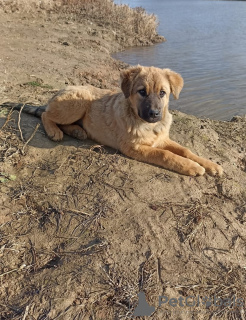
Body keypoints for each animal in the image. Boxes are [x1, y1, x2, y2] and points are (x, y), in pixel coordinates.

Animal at [41, 64, 223, 175]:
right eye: (142, 92)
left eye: (162, 93)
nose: (154, 114)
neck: (149, 126)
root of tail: (62, 89)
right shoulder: (133, 147)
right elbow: (165, 154)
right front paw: (192, 166)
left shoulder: (163, 139)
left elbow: (185, 150)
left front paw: (209, 164)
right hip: (78, 103)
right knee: (45, 114)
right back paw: (54, 131)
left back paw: (77, 131)